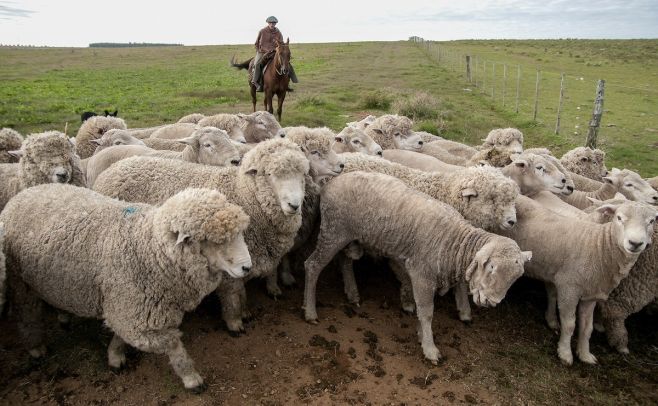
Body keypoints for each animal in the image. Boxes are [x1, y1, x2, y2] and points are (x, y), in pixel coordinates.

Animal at [0, 186, 251, 392]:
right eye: (215, 240)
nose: (247, 267)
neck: (150, 248)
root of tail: (23, 193)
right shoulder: (134, 311)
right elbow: (172, 344)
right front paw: (191, 377)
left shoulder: (130, 307)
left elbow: (121, 335)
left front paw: (115, 355)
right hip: (20, 281)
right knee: (27, 312)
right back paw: (36, 347)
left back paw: (63, 316)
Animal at [92, 138, 310, 334]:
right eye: (270, 174)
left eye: (302, 175)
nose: (294, 205)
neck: (244, 193)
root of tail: (115, 168)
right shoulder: (228, 264)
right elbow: (234, 295)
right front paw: (235, 322)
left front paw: (249, 309)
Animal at [304, 170, 532, 364]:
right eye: (490, 266)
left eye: (515, 278)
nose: (492, 302)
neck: (454, 240)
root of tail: (331, 182)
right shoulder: (422, 275)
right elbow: (427, 312)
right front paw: (430, 349)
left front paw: (422, 335)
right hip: (333, 230)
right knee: (312, 266)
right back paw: (310, 311)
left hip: (349, 235)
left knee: (345, 260)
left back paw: (352, 294)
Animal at [500, 194, 652, 364]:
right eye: (619, 218)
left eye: (652, 221)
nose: (636, 243)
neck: (599, 246)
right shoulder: (569, 288)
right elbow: (569, 325)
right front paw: (565, 353)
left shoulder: (591, 295)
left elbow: (587, 328)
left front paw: (585, 354)